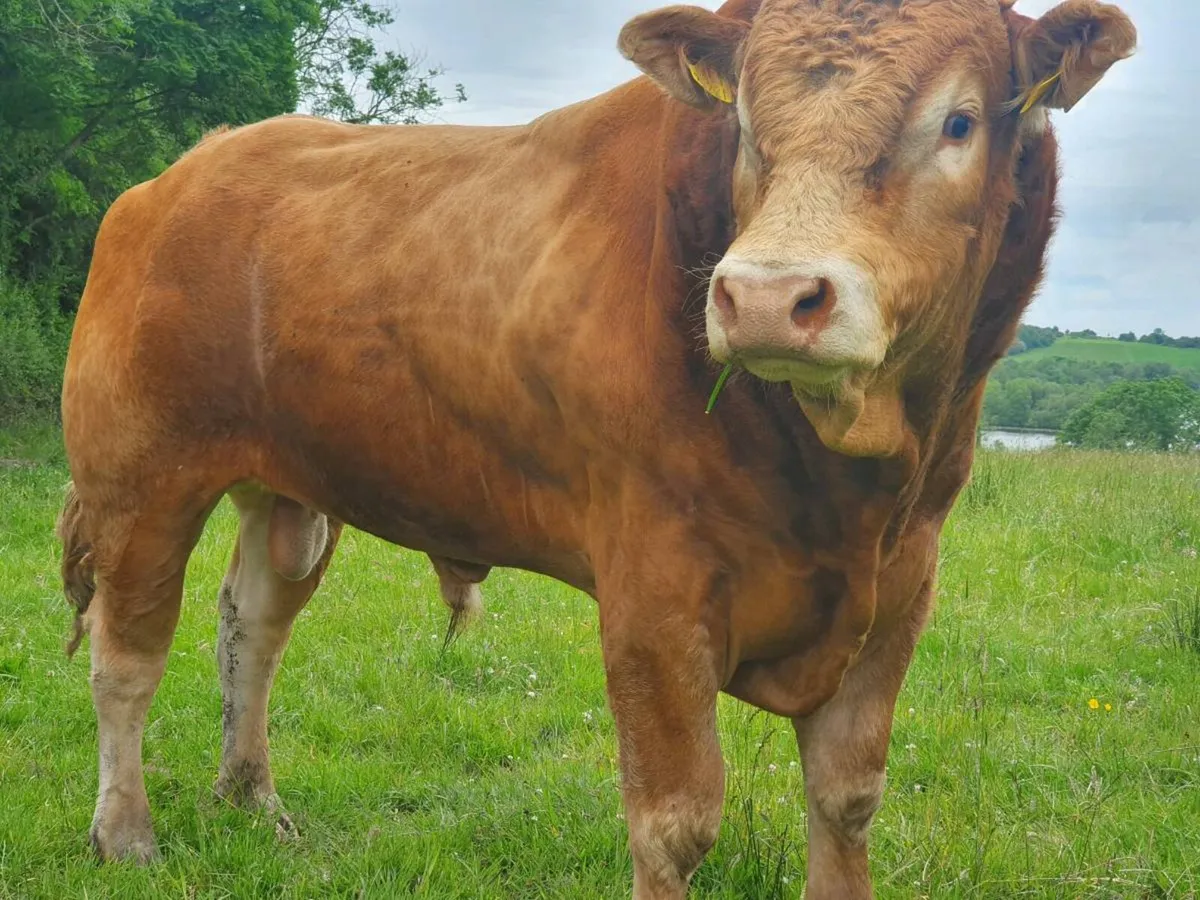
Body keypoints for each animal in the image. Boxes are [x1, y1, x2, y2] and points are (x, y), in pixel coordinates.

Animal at [56, 0, 1135, 896]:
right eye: (746, 124)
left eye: (959, 123)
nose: (767, 296)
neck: (848, 493)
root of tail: (186, 170)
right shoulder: (655, 591)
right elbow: (674, 824)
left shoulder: (902, 589)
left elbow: (847, 799)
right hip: (140, 476)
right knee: (126, 657)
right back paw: (126, 833)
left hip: (287, 486)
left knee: (252, 627)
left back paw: (251, 798)